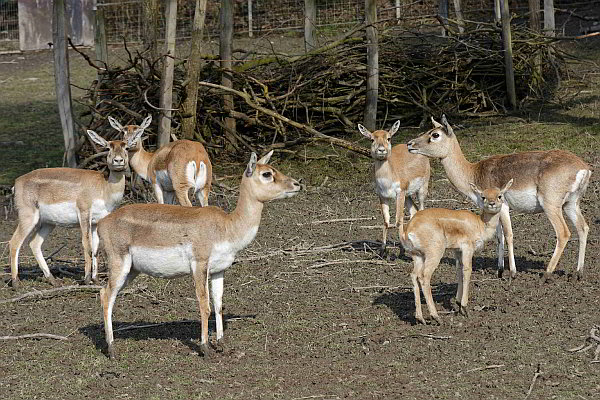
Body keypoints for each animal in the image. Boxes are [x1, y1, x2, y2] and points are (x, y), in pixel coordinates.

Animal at [9, 128, 143, 288]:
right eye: (108, 147)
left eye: (126, 147)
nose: (118, 161)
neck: (104, 188)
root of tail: (17, 182)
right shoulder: (84, 212)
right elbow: (86, 243)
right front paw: (86, 279)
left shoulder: (96, 221)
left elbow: (96, 248)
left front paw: (95, 279)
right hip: (28, 216)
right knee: (14, 242)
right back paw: (16, 282)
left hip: (48, 222)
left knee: (34, 243)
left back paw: (53, 280)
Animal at [99, 152, 304, 358]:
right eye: (267, 173)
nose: (297, 184)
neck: (227, 226)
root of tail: (103, 222)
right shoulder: (199, 265)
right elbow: (204, 306)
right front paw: (205, 347)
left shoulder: (218, 270)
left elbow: (218, 305)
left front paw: (221, 344)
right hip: (120, 263)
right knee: (107, 296)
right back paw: (112, 349)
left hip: (132, 270)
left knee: (103, 292)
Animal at [356, 120, 432, 255]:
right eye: (372, 139)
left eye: (389, 138)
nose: (381, 150)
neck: (387, 180)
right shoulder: (382, 195)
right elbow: (386, 221)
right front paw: (382, 250)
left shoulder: (399, 192)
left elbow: (398, 220)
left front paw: (401, 251)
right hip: (408, 195)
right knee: (414, 210)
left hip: (422, 187)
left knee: (421, 208)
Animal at [404, 180, 510, 324]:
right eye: (483, 196)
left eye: (499, 195)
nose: (492, 203)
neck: (480, 224)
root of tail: (409, 228)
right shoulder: (467, 248)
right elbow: (467, 270)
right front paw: (465, 308)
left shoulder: (457, 251)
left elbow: (459, 271)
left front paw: (459, 304)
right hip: (434, 254)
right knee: (424, 276)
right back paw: (436, 317)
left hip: (418, 256)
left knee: (414, 275)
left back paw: (420, 318)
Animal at [406, 115, 592, 282]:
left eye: (435, 134)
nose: (409, 144)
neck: (474, 172)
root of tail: (583, 167)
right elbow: (499, 236)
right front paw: (500, 271)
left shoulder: (503, 206)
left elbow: (508, 235)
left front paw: (512, 273)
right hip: (571, 204)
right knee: (583, 228)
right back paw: (578, 273)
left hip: (551, 206)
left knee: (563, 233)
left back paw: (546, 274)